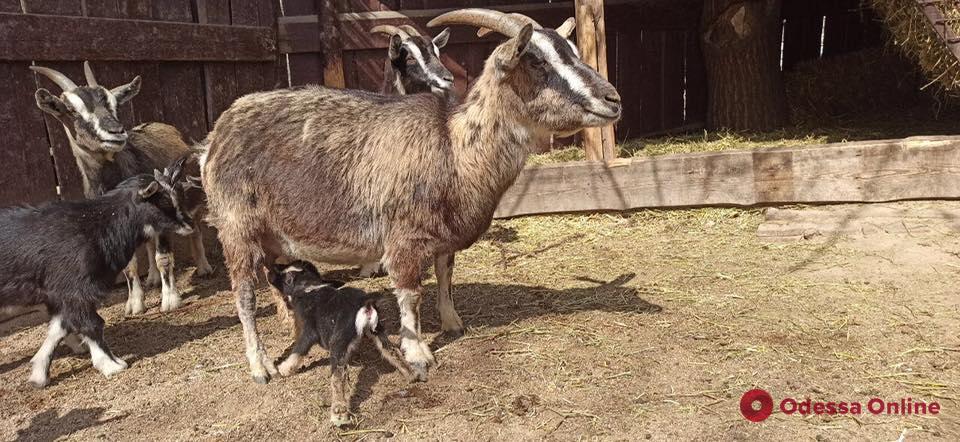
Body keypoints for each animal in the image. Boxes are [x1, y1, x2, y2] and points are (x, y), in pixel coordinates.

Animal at [0, 159, 195, 386]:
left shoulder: (61, 294)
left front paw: (39, 374)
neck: (99, 224)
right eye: (163, 202)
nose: (190, 224)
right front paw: (111, 365)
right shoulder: (75, 290)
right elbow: (91, 323)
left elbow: (59, 327)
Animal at [31, 63, 212, 318]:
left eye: (115, 104)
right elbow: (129, 266)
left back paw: (203, 267)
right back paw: (152, 279)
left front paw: (170, 300)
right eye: (71, 111)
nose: (116, 132)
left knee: (194, 228)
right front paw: (135, 304)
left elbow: (164, 257)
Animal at [202, 8, 624, 386]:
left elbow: (446, 274)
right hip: (236, 226)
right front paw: (419, 353)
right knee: (243, 294)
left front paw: (453, 323)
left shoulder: (445, 235)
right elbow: (410, 294)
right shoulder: (403, 238)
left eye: (572, 51)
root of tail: (216, 134)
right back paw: (261, 367)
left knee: (272, 275)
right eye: (535, 60)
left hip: (272, 234)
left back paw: (290, 319)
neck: (453, 147)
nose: (613, 99)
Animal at [268, 260, 414, 426]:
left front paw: (283, 369)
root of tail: (365, 304)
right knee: (391, 350)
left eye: (283, 276)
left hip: (338, 343)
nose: (270, 271)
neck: (308, 287)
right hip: (378, 331)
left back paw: (338, 414)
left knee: (337, 378)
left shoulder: (309, 332)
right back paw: (412, 375)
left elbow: (298, 351)